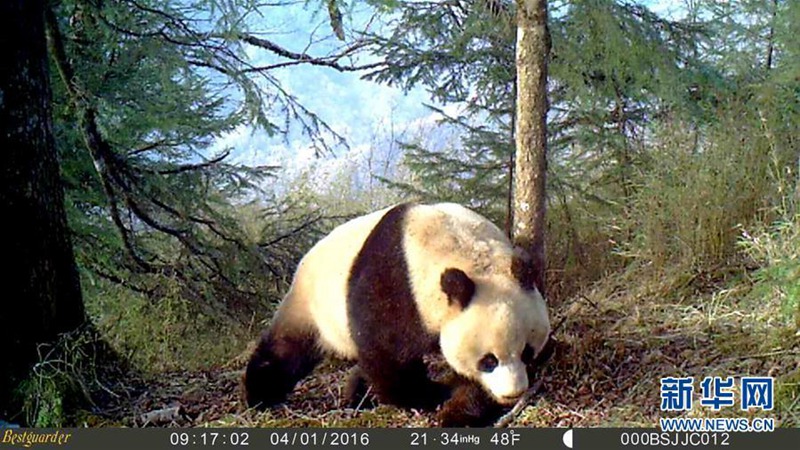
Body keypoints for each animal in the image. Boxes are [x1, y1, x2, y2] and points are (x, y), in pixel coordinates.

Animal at [245, 202, 552, 428]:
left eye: (527, 352)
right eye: (488, 360)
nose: (513, 394)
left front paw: (459, 411)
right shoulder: (393, 284)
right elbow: (386, 352)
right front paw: (428, 396)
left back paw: (356, 394)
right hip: (311, 305)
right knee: (286, 349)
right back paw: (259, 394)